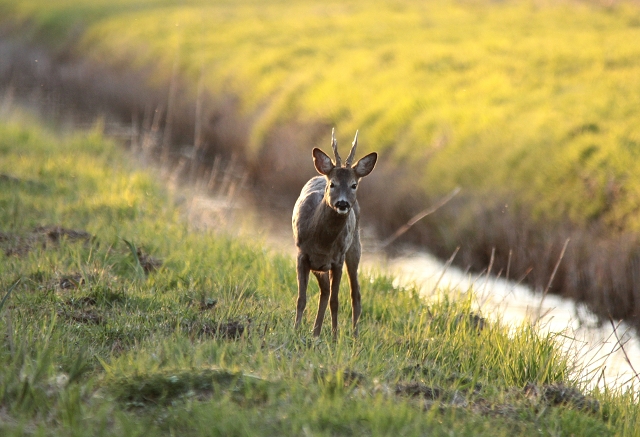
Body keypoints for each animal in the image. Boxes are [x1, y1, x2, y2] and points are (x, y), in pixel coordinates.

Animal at [292, 127, 378, 336]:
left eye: (354, 185)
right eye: (332, 184)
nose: (342, 203)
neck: (322, 242)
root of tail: (319, 174)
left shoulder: (337, 260)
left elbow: (335, 302)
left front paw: (334, 336)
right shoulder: (302, 254)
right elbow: (301, 298)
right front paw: (295, 330)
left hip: (354, 248)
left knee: (355, 293)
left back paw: (354, 336)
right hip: (319, 265)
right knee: (325, 291)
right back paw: (315, 333)